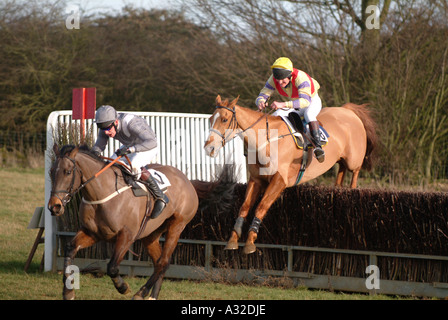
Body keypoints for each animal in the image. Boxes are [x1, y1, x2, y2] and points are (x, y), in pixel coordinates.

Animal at [46, 145, 214, 300]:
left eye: (68, 172)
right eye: (51, 171)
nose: (54, 206)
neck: (102, 194)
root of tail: (186, 179)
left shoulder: (127, 235)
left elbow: (112, 267)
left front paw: (123, 287)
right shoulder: (92, 233)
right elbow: (70, 249)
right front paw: (68, 292)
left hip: (177, 225)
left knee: (163, 261)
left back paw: (141, 293)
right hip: (151, 234)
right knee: (160, 262)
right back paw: (152, 296)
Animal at [205, 95, 376, 255]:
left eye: (225, 119)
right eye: (210, 120)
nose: (208, 148)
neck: (267, 142)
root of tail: (347, 110)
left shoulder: (279, 181)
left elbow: (261, 207)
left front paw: (250, 242)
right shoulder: (256, 179)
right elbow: (244, 207)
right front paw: (233, 240)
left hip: (354, 160)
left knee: (354, 173)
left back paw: (351, 189)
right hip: (340, 160)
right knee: (341, 171)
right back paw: (338, 189)